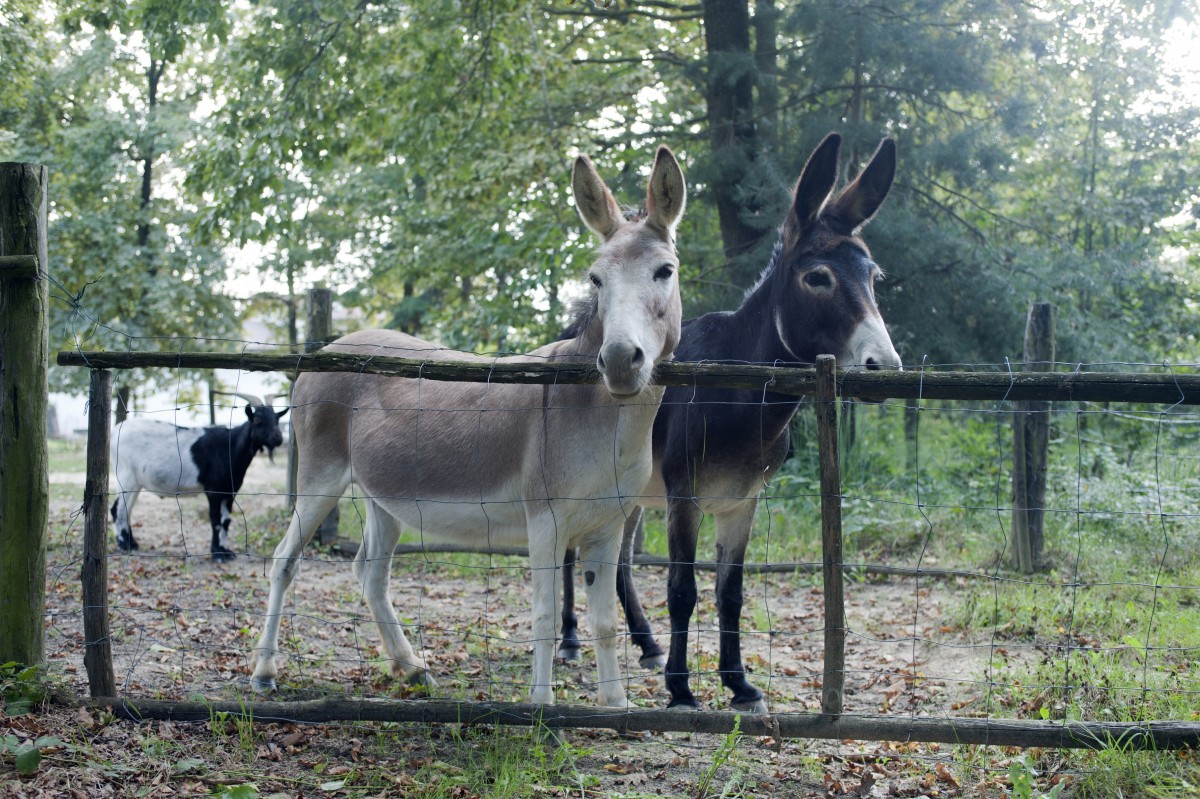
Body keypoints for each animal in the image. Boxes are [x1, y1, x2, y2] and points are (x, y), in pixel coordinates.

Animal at [110, 393, 288, 559]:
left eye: (277, 418)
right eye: (257, 419)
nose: (278, 438)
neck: (229, 446)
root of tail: (114, 432)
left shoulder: (230, 492)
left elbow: (226, 521)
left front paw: (226, 551)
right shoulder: (213, 491)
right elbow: (216, 521)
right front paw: (218, 555)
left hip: (136, 482)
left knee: (126, 510)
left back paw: (132, 543)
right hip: (126, 476)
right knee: (118, 510)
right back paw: (124, 545)